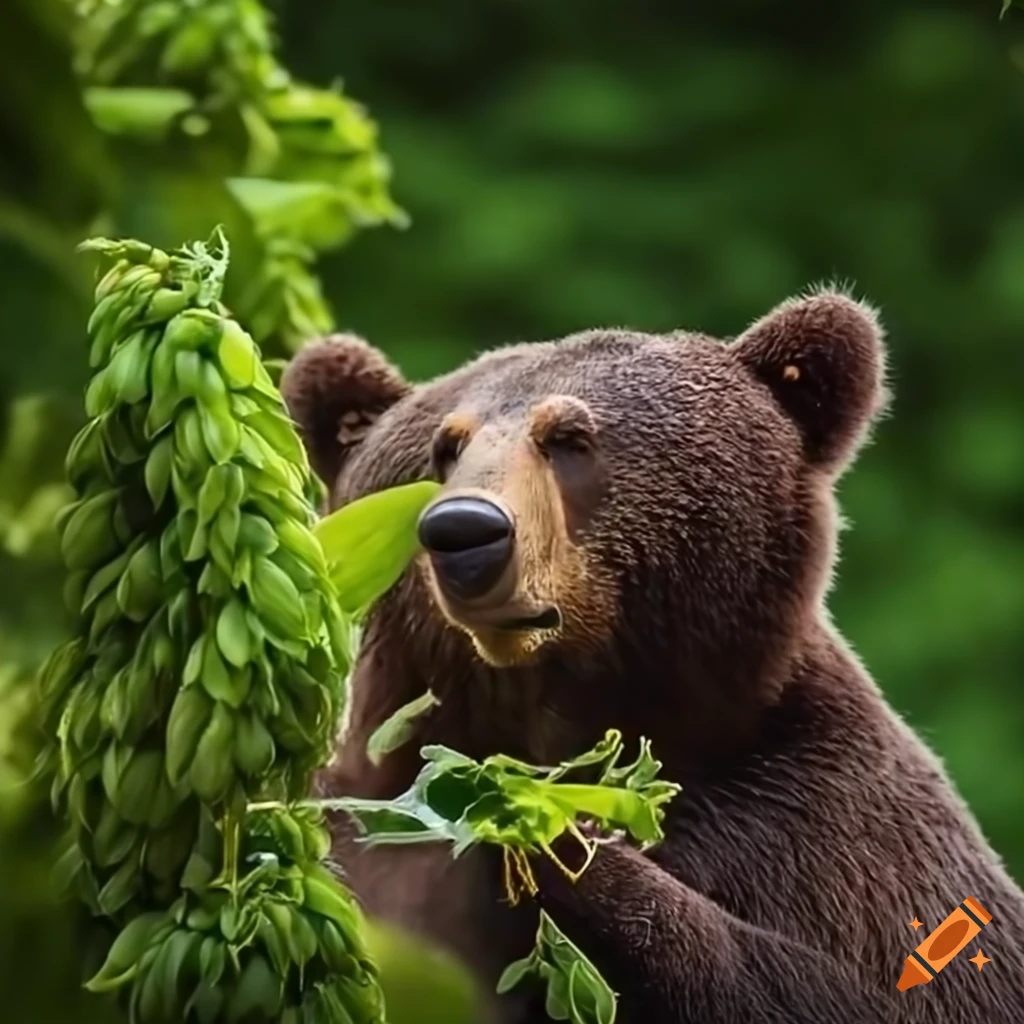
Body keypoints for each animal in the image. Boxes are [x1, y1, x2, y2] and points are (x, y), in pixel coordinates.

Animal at [281, 290, 1024, 1024]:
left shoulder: (818, 840)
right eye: (446, 445)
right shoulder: (369, 828)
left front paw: (560, 838)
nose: (465, 531)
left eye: (570, 439)